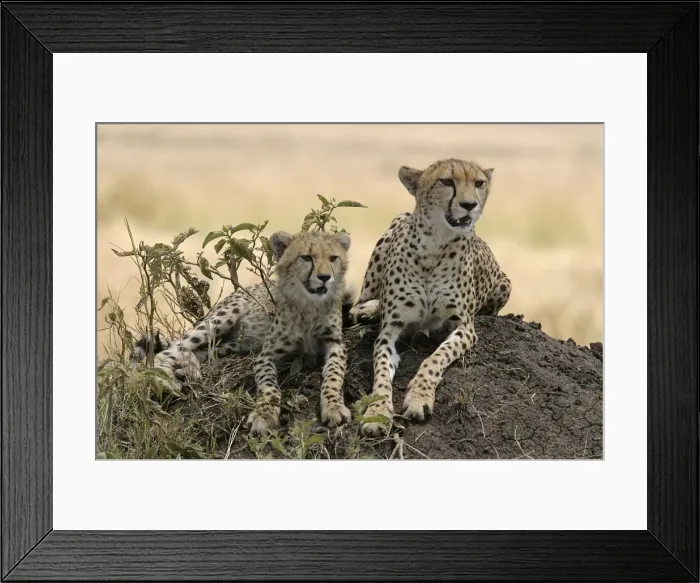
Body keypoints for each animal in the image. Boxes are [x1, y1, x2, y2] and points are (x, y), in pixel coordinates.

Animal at [132, 229, 355, 437]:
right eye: (307, 257)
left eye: (333, 258)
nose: (325, 278)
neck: (309, 305)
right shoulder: (266, 355)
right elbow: (269, 386)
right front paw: (264, 415)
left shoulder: (335, 343)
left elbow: (334, 373)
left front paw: (334, 406)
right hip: (221, 319)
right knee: (170, 350)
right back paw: (167, 378)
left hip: (235, 344)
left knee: (197, 351)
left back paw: (189, 368)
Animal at [347, 158, 512, 437]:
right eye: (446, 181)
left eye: (479, 183)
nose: (470, 205)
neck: (435, 244)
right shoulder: (389, 332)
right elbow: (380, 374)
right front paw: (377, 413)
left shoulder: (464, 327)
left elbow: (435, 358)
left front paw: (418, 398)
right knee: (366, 297)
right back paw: (366, 309)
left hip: (504, 284)